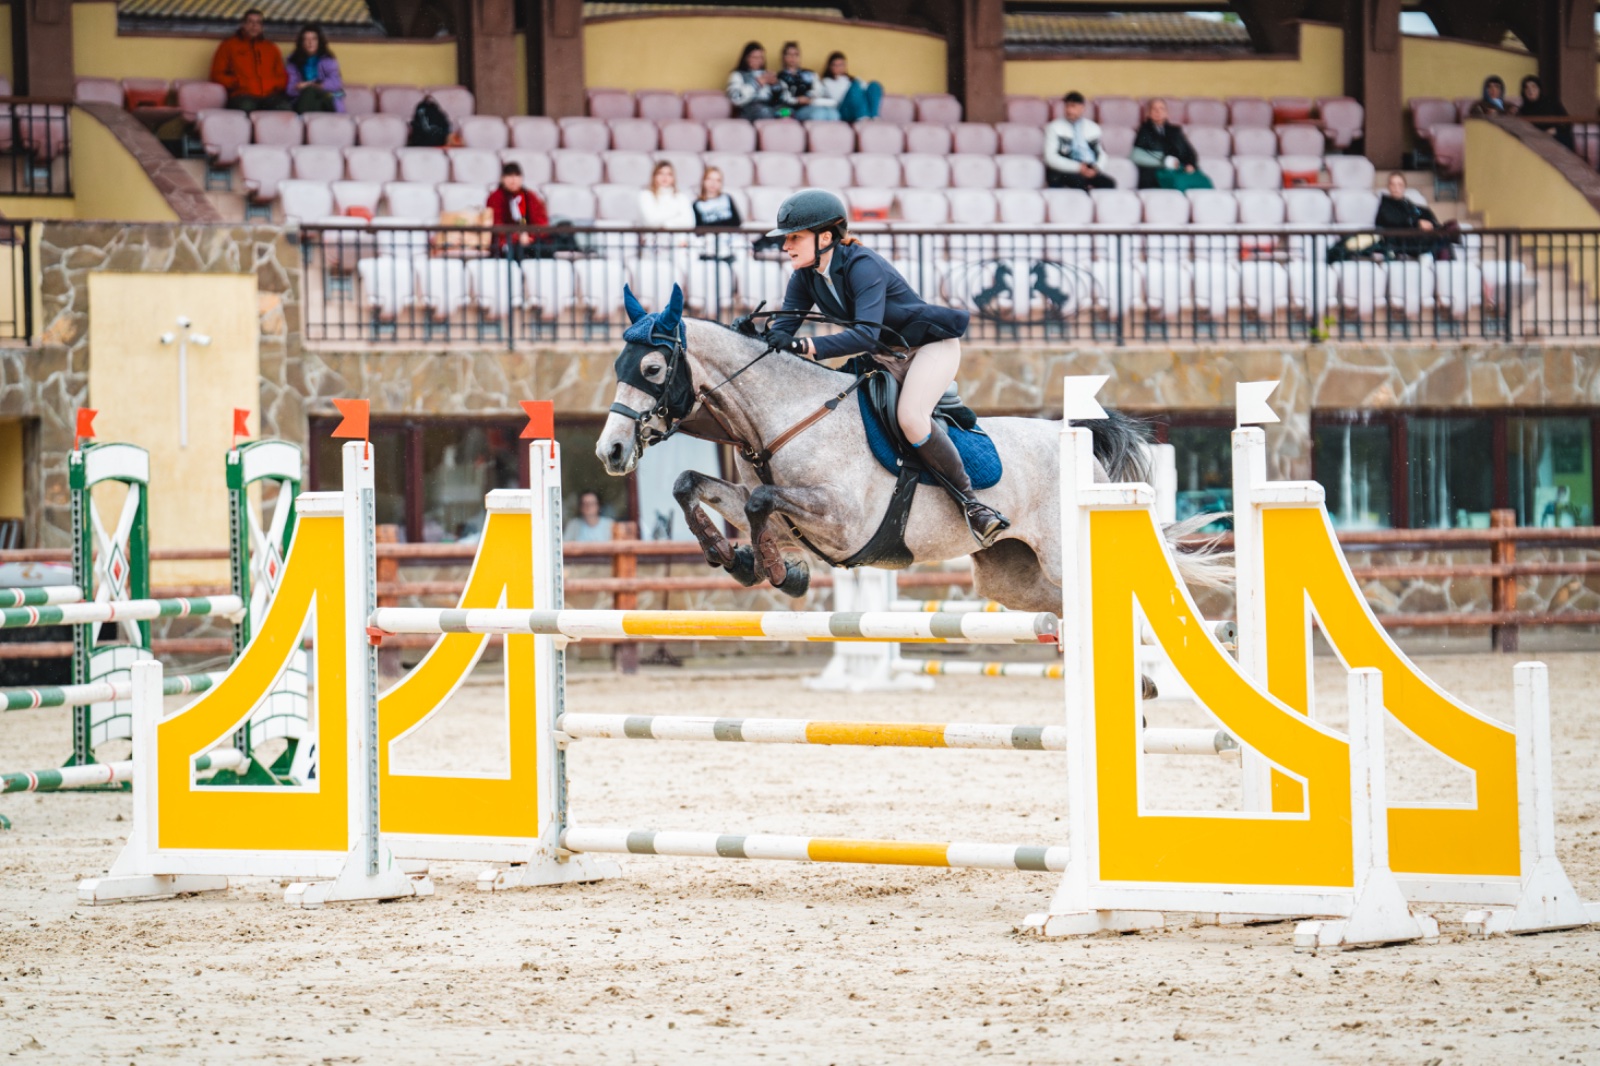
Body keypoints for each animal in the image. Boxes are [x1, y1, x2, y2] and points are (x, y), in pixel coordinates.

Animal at [596, 285, 1223, 615]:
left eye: (652, 369)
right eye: (618, 365)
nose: (611, 451)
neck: (786, 417)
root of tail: (1085, 447)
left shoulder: (842, 519)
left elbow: (758, 504)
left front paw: (773, 570)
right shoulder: (785, 511)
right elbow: (695, 486)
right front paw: (740, 560)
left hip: (1065, 553)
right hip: (1012, 576)